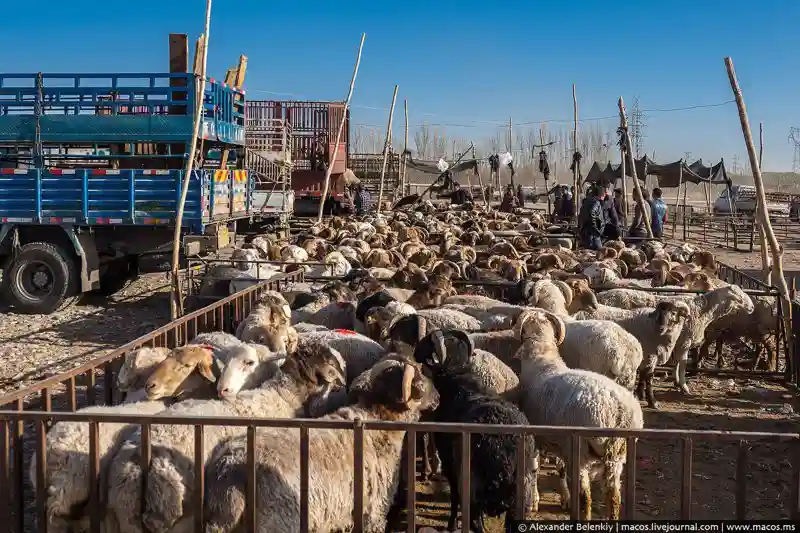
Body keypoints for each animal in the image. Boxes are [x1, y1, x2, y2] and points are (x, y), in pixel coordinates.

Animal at [412, 328, 536, 532]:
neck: (457, 375)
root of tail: (503, 458)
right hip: (520, 501)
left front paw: (452, 523)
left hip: (473, 490)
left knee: (475, 521)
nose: (414, 352)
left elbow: (454, 494)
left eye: (428, 341)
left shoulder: (448, 461)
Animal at [512, 308, 644, 520]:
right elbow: (559, 469)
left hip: (580, 451)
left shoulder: (536, 434)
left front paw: (533, 501)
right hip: (617, 457)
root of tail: (615, 411)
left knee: (586, 498)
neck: (542, 356)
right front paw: (562, 498)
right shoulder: (560, 442)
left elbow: (533, 468)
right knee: (614, 497)